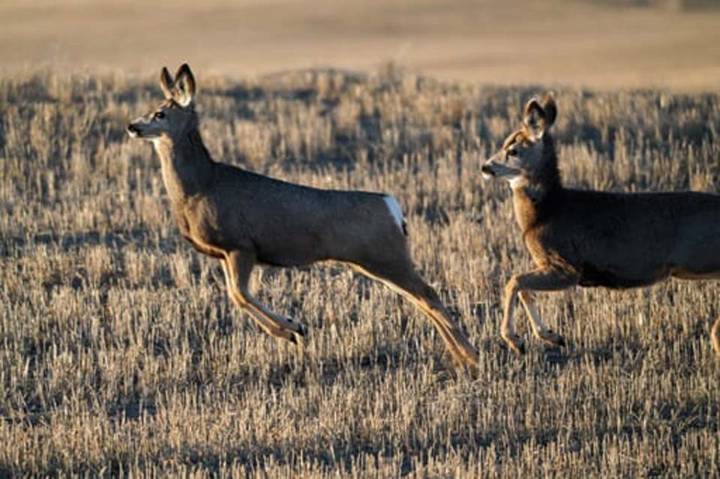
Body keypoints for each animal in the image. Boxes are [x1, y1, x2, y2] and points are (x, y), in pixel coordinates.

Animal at [126, 64, 480, 371]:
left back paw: (472, 356)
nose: (133, 126)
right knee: (419, 298)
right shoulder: (225, 253)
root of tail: (391, 206)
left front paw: (292, 329)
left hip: (384, 255)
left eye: (160, 113)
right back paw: (460, 355)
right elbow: (236, 296)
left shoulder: (241, 245)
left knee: (427, 293)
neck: (200, 185)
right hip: (376, 260)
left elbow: (240, 295)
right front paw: (293, 329)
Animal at [481, 94, 720, 358]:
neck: (545, 211)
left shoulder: (568, 266)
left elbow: (514, 281)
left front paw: (515, 339)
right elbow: (524, 289)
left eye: (513, 150)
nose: (485, 167)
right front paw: (552, 336)